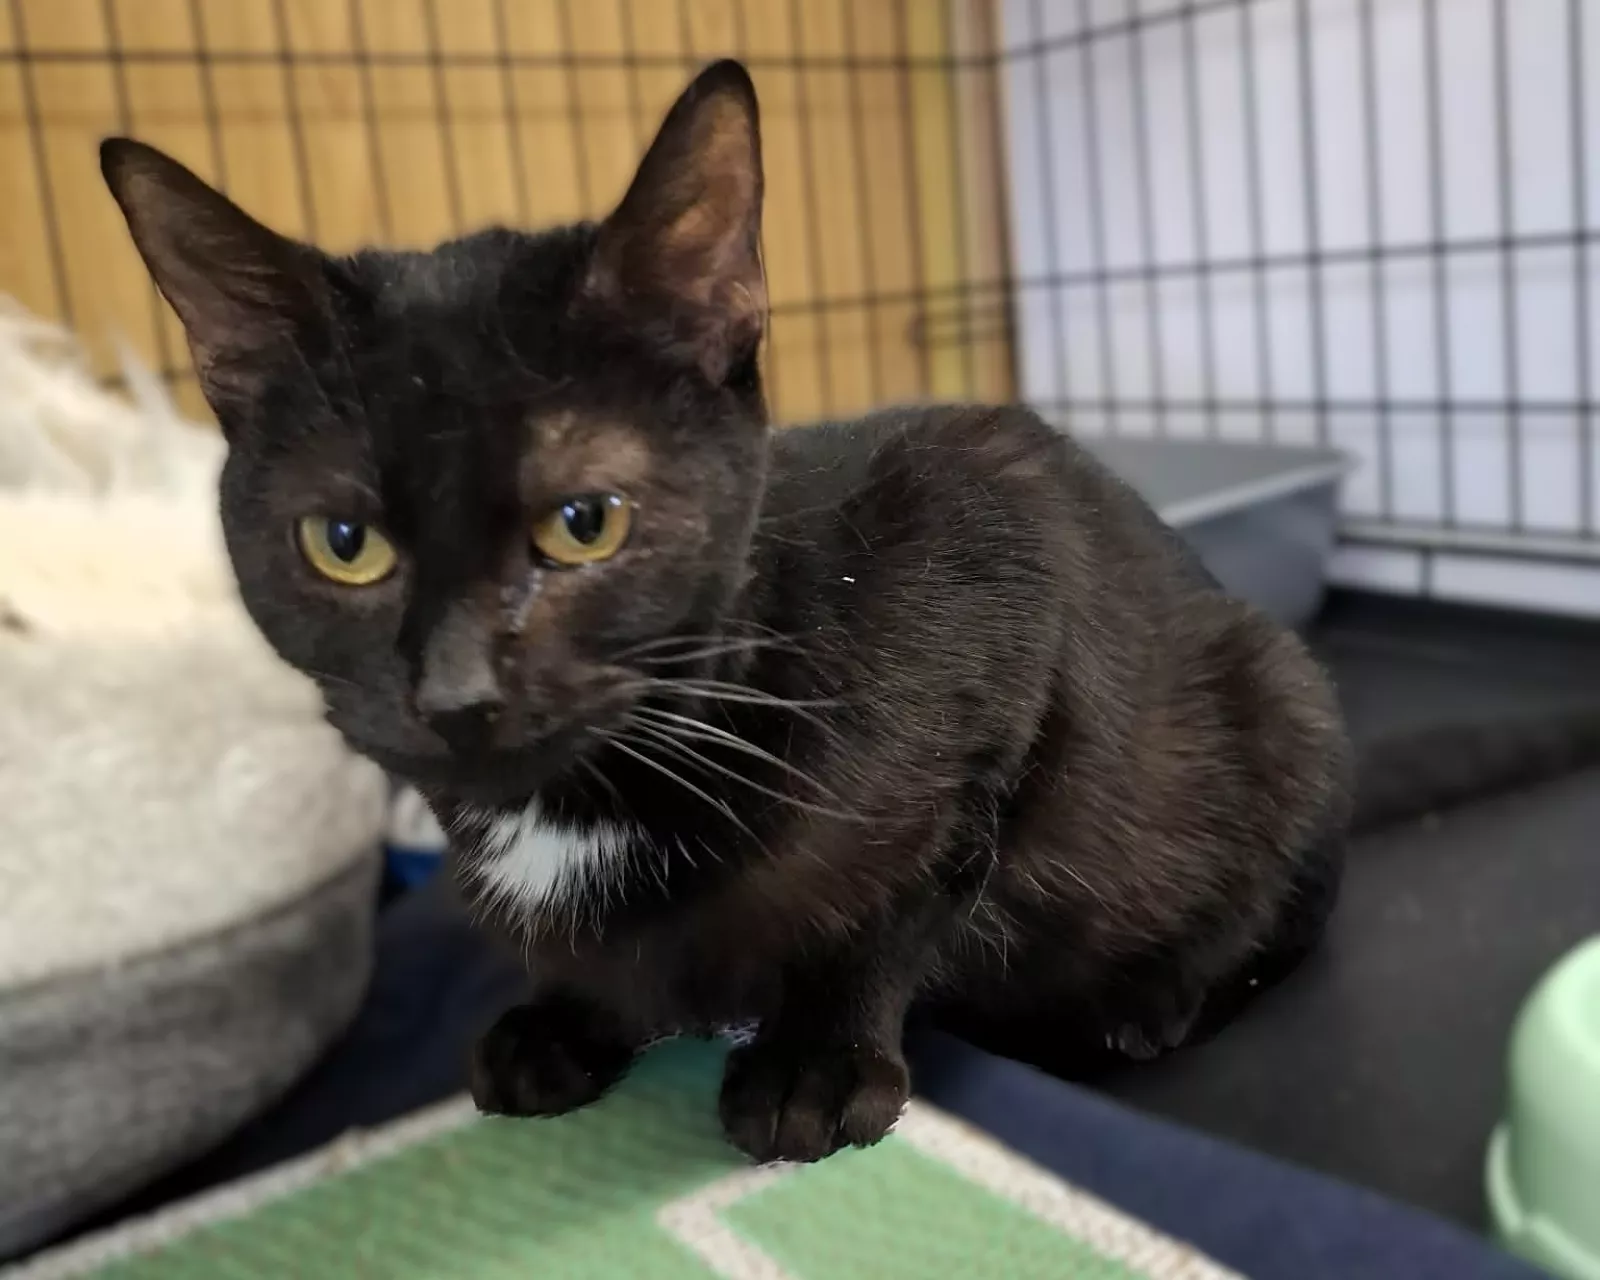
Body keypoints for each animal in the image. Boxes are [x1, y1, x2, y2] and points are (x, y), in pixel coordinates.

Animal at [101, 60, 1600, 1165]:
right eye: (343, 544)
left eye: (586, 521)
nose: (455, 691)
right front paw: (565, 1017)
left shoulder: (999, 574)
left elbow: (890, 898)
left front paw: (816, 1061)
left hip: (1284, 697)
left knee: (1285, 922)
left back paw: (1151, 993)